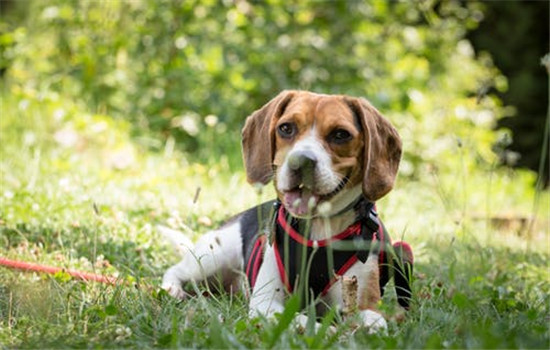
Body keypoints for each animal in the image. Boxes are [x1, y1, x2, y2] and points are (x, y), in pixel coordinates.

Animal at [163, 90, 414, 330]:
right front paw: (322, 330)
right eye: (286, 128)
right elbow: (296, 318)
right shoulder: (266, 302)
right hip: (211, 258)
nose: (301, 161)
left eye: (340, 134)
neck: (318, 226)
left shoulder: (362, 304)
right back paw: (172, 289)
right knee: (176, 270)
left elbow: (374, 323)